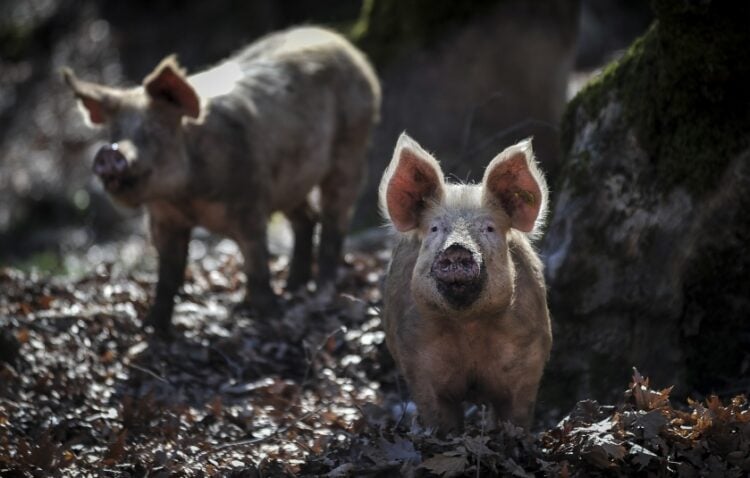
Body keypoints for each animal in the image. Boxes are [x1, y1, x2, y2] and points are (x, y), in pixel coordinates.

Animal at [63, 25, 382, 332]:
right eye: (115, 133)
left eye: (155, 130)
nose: (110, 152)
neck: (186, 198)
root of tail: (348, 47)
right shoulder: (163, 219)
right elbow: (168, 276)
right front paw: (151, 329)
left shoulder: (250, 205)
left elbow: (257, 269)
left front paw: (271, 317)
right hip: (291, 181)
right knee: (307, 218)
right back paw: (293, 288)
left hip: (352, 149)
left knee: (334, 221)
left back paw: (321, 291)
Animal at [382, 133, 552, 432]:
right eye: (435, 228)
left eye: (489, 228)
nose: (457, 249)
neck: (468, 326)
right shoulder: (418, 363)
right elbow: (440, 418)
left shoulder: (528, 358)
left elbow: (516, 416)